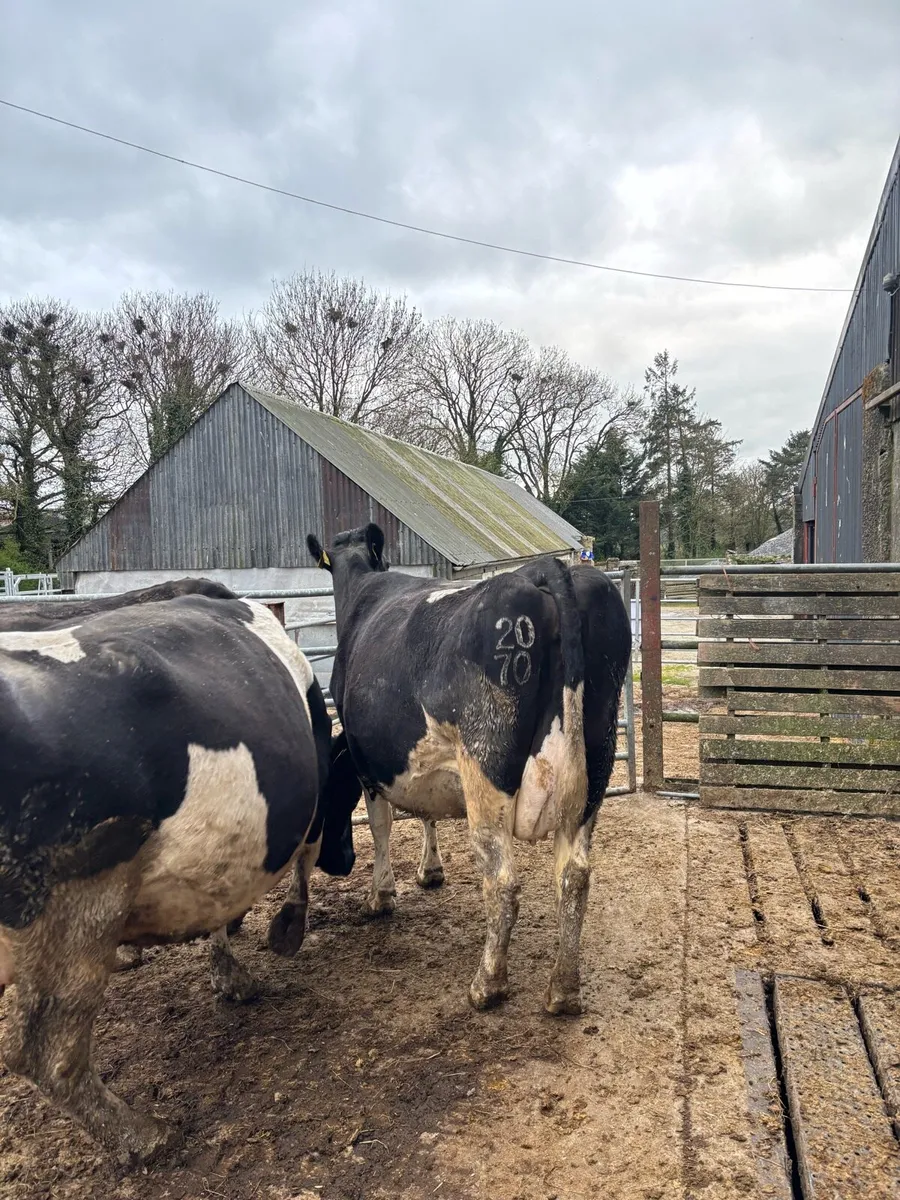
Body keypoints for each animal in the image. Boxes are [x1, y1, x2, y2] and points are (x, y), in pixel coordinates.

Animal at [0, 591, 352, 1162]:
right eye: (350, 790)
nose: (346, 861)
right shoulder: (309, 819)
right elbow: (294, 873)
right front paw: (282, 937)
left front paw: (230, 972)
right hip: (81, 900)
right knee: (43, 1051)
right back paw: (143, 1137)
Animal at [305, 523, 631, 1017]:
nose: (337, 864)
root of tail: (546, 569)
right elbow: (427, 814)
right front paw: (430, 871)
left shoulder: (368, 762)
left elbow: (381, 825)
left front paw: (381, 895)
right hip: (597, 764)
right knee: (574, 876)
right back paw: (563, 990)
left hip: (485, 762)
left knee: (503, 883)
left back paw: (487, 985)